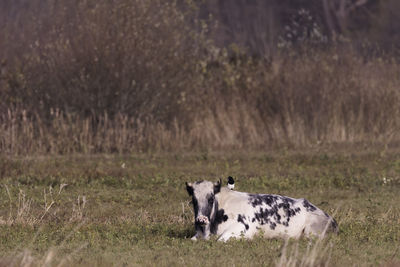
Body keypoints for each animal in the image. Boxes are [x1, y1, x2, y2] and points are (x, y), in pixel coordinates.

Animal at [185, 178, 338, 243]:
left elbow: (220, 240)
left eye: (211, 198)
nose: (201, 220)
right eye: (194, 200)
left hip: (311, 232)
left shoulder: (241, 229)